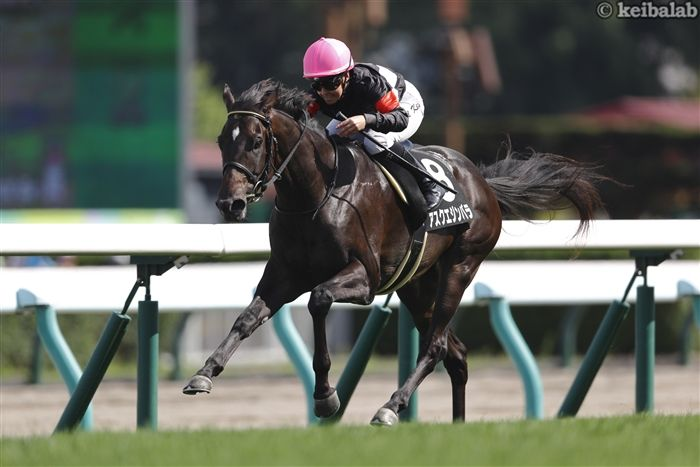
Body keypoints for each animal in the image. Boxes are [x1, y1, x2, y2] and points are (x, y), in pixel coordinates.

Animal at [183, 79, 609, 426]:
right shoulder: (285, 274)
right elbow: (247, 317)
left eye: (255, 141)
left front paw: (325, 397)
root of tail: (482, 181)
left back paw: (390, 407)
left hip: (460, 266)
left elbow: (319, 300)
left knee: (437, 345)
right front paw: (204, 373)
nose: (230, 204)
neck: (316, 193)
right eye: (222, 140)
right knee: (455, 353)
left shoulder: (364, 278)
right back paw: (456, 425)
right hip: (416, 285)